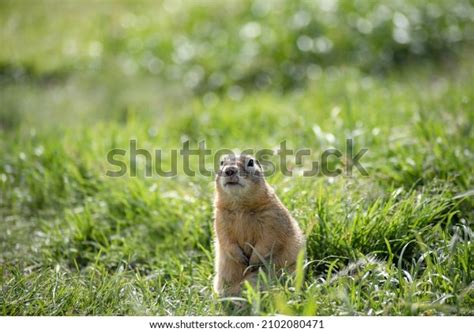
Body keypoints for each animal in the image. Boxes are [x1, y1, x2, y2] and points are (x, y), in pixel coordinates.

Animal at [214, 153, 306, 296]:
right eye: (222, 162)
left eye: (251, 162)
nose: (229, 170)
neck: (239, 207)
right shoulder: (220, 218)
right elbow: (225, 238)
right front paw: (241, 258)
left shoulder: (271, 217)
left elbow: (268, 239)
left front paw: (253, 262)